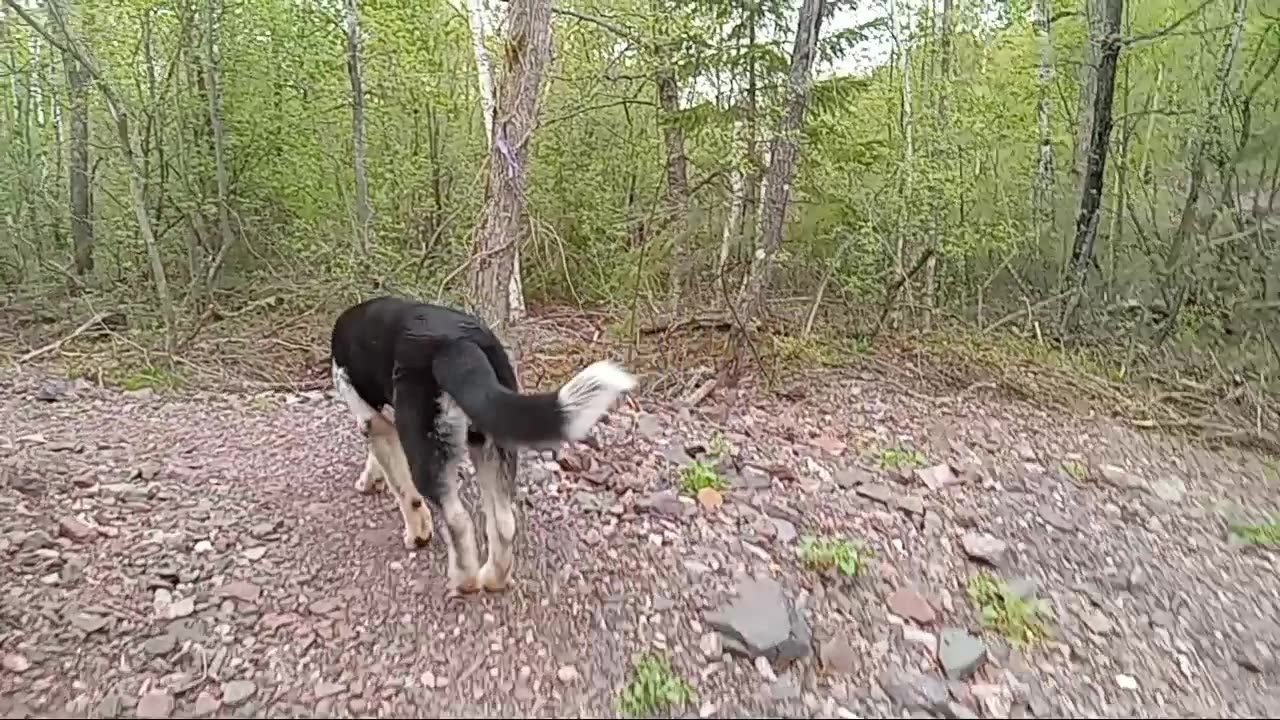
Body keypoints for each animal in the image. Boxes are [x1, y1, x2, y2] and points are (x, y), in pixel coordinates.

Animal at [327, 294, 632, 591]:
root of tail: (458, 344)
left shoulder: (373, 423)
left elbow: (405, 492)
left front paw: (416, 534)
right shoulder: (384, 429)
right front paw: (371, 479)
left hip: (429, 450)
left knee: (458, 521)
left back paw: (465, 581)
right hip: (492, 439)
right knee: (504, 523)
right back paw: (494, 578)